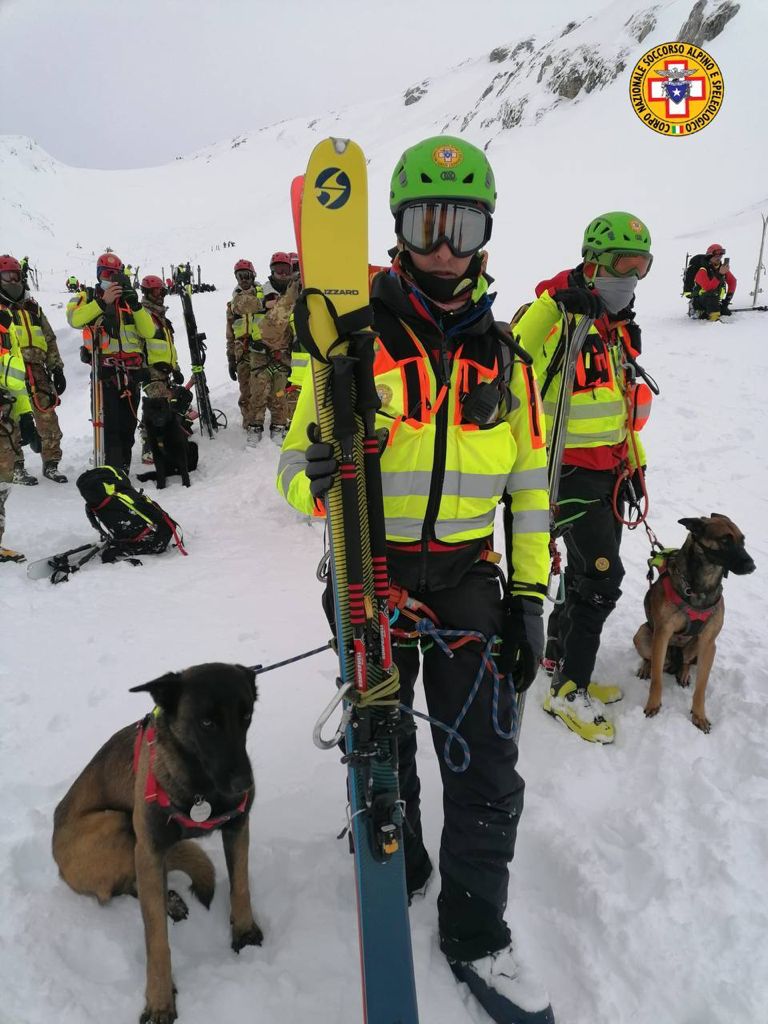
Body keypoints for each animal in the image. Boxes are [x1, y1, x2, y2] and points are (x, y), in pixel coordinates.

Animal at [51, 663, 262, 1024]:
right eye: (207, 723)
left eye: (246, 715)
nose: (244, 785)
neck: (199, 787)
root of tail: (57, 863)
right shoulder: (149, 849)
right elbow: (156, 941)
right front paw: (160, 1002)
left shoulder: (237, 828)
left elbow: (241, 887)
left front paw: (244, 934)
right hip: (115, 823)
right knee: (122, 886)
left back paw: (171, 900)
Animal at [634, 516, 753, 733]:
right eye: (725, 540)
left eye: (743, 541)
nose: (752, 565)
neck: (701, 588)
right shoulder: (662, 635)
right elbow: (657, 679)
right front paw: (653, 704)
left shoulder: (708, 643)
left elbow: (701, 687)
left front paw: (699, 716)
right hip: (642, 634)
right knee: (650, 659)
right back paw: (646, 667)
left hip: (696, 645)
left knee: (687, 662)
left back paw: (683, 673)